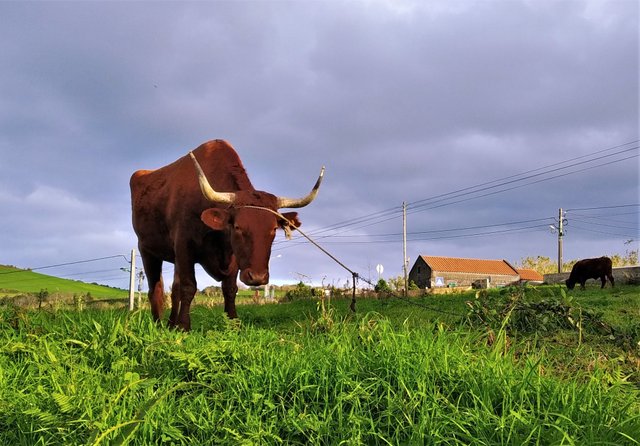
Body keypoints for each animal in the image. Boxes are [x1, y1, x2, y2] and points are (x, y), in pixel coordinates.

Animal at [129, 139, 324, 332]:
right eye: (237, 227)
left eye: (274, 229)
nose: (258, 277)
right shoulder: (184, 246)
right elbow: (188, 286)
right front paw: (184, 326)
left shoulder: (233, 257)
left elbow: (229, 288)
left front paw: (233, 323)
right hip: (147, 250)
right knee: (156, 289)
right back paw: (157, 325)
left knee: (174, 289)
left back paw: (170, 324)